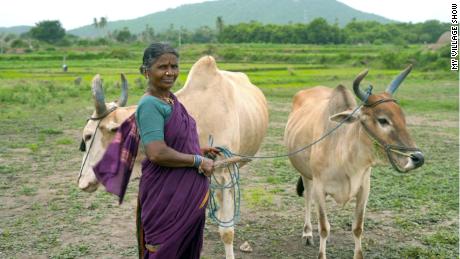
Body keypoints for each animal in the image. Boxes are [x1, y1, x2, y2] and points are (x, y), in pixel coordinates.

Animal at [284, 67, 424, 259]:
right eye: (382, 120)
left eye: (403, 118)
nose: (418, 158)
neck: (345, 158)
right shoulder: (320, 188)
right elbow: (324, 228)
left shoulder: (364, 188)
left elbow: (357, 228)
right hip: (306, 174)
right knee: (307, 198)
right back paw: (307, 233)